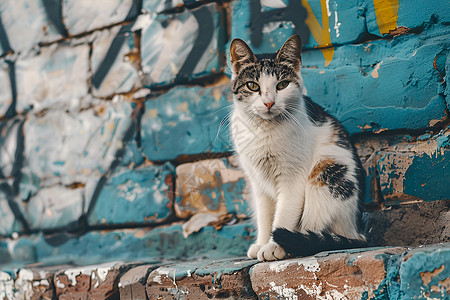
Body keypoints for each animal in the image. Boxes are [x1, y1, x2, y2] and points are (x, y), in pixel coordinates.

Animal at [229, 34, 366, 260]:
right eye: (252, 86)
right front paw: (261, 243)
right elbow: (265, 216)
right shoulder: (258, 182)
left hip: (326, 174)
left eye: (282, 85)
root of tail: (358, 231)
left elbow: (283, 215)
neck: (264, 130)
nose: (268, 103)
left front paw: (273, 247)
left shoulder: (292, 178)